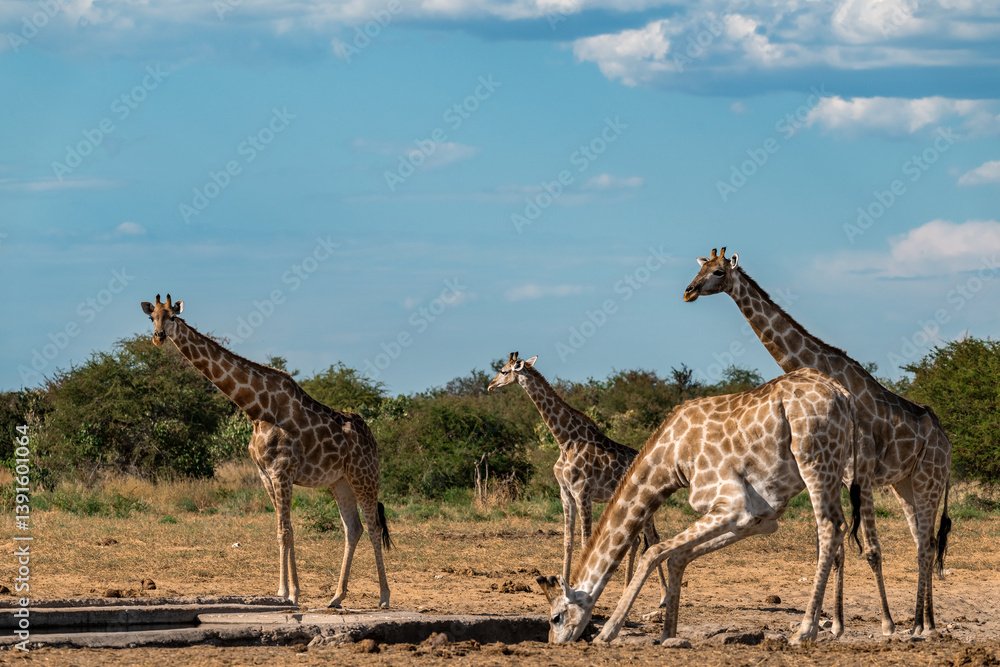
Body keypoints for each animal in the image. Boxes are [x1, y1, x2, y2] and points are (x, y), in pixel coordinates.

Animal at [140, 294, 392, 608]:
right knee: (353, 528)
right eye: (152, 318)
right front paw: (286, 592)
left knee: (373, 526)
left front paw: (290, 593)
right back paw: (336, 597)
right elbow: (282, 530)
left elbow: (285, 531)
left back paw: (384, 597)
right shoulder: (265, 473)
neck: (257, 409)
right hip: (340, 481)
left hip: (364, 475)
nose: (158, 337)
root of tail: (372, 438)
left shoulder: (282, 470)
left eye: (172, 316)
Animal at [487, 352, 666, 607]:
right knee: (636, 540)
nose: (490, 385)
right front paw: (566, 589)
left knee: (653, 538)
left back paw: (663, 597)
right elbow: (568, 541)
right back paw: (627, 590)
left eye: (503, 371)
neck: (565, 440)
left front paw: (584, 592)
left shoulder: (583, 492)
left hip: (646, 500)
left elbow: (585, 542)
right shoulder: (566, 493)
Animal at [536, 368, 863, 646]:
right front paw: (667, 633)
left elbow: (653, 551)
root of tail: (843, 394)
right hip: (834, 469)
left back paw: (804, 632)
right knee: (837, 531)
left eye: (555, 618)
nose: (555, 643)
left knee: (831, 528)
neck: (672, 460)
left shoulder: (733, 506)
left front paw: (608, 632)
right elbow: (677, 556)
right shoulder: (759, 519)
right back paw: (829, 627)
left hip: (814, 461)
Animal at [683, 247, 953, 636]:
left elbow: (871, 550)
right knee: (924, 542)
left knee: (926, 547)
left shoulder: (861, 473)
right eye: (700, 268)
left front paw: (886, 624)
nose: (688, 291)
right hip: (906, 485)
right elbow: (837, 547)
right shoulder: (840, 475)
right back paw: (923, 623)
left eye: (718, 272)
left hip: (929, 480)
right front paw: (835, 624)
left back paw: (922, 625)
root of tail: (948, 443)